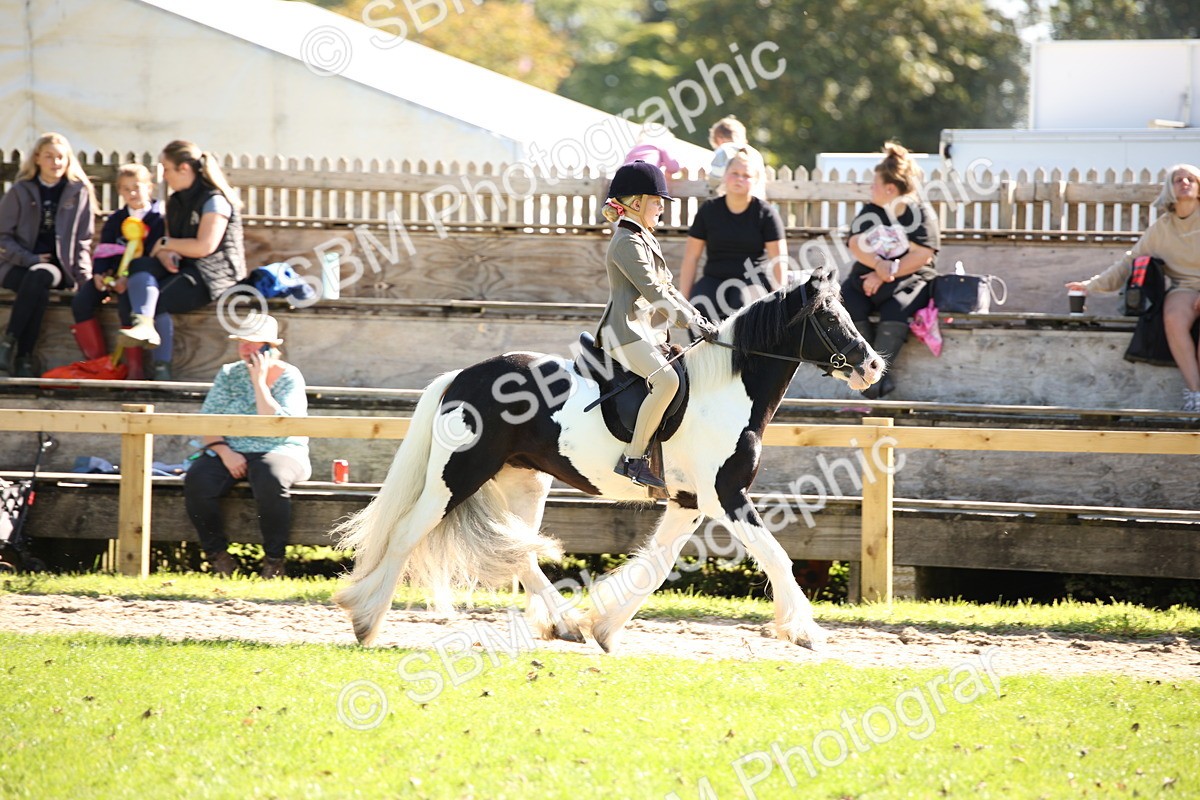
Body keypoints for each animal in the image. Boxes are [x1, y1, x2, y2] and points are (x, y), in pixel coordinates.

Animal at [332, 267, 884, 651]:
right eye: (829, 316)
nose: (873, 366)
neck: (725, 390)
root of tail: (461, 377)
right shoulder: (726, 496)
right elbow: (775, 555)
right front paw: (805, 632)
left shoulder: (690, 501)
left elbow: (657, 566)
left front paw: (603, 627)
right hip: (457, 476)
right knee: (408, 533)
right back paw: (365, 620)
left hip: (523, 483)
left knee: (520, 552)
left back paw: (565, 625)